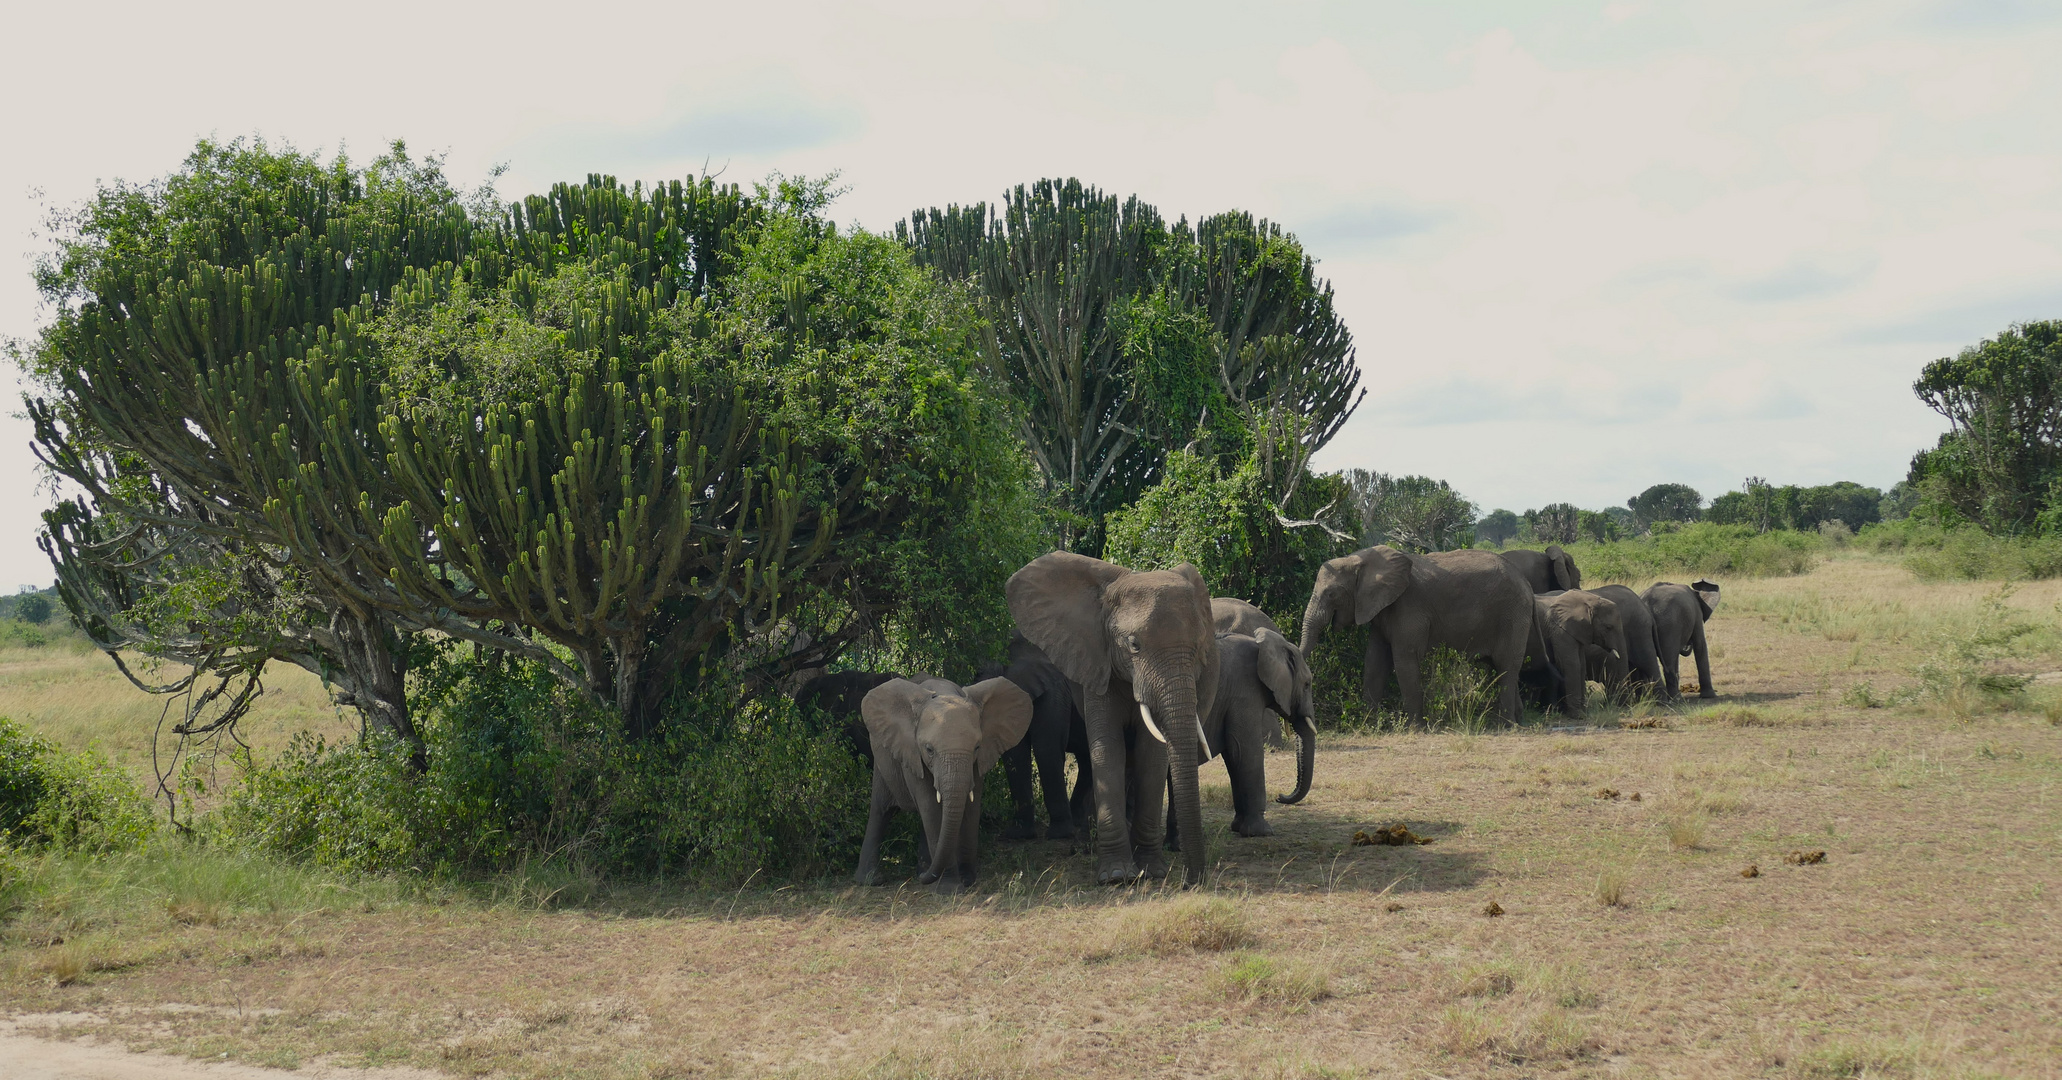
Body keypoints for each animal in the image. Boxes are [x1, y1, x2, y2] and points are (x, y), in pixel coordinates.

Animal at [853, 676, 1031, 894]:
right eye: (929, 749)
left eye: (977, 747)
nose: (923, 879)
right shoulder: (912, 753)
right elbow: (930, 806)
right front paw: (949, 888)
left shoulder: (978, 761)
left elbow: (971, 807)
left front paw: (964, 879)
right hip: (883, 762)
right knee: (881, 810)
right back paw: (872, 880)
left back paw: (922, 870)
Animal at [977, 634, 1096, 845]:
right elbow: (1015, 755)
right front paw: (1018, 835)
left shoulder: (1054, 692)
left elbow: (1046, 750)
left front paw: (1059, 835)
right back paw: (1078, 822)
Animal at [1006, 552, 1212, 882]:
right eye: (1133, 645)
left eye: (1198, 648)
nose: (1191, 881)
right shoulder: (1096, 661)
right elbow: (1107, 747)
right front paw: (1116, 876)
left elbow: (1152, 752)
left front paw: (1152, 872)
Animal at [1303, 548, 1534, 725]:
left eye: (1331, 594)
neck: (1361, 559)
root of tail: (1527, 585)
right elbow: (1375, 662)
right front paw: (1369, 723)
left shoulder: (1410, 607)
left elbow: (1404, 659)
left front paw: (1414, 728)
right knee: (1503, 668)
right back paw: (1519, 720)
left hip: (1512, 615)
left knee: (1506, 666)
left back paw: (1505, 725)